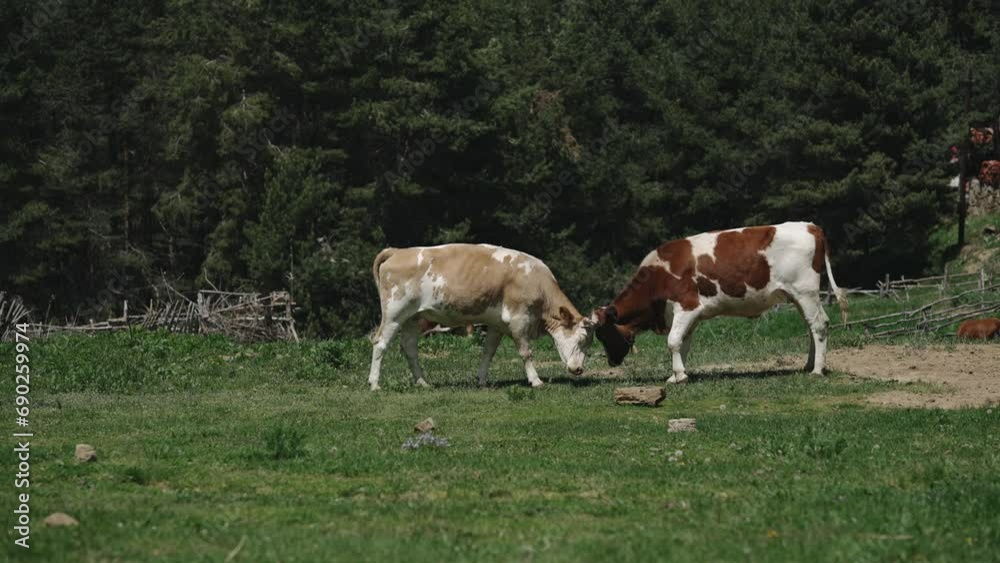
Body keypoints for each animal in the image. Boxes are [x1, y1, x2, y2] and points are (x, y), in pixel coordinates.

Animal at [370, 245, 592, 390]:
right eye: (581, 340)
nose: (579, 369)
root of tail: (398, 251)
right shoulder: (518, 319)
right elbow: (526, 353)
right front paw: (535, 381)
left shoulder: (497, 324)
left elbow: (488, 352)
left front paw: (482, 381)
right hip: (394, 313)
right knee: (380, 344)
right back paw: (374, 384)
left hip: (414, 317)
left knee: (409, 347)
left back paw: (422, 382)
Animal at [596, 220, 848, 384]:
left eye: (605, 335)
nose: (611, 362)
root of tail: (810, 226)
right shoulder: (692, 315)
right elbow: (683, 343)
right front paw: (676, 374)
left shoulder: (687, 306)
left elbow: (673, 341)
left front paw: (679, 376)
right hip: (797, 296)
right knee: (811, 327)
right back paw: (808, 365)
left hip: (805, 292)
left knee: (819, 325)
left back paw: (817, 370)